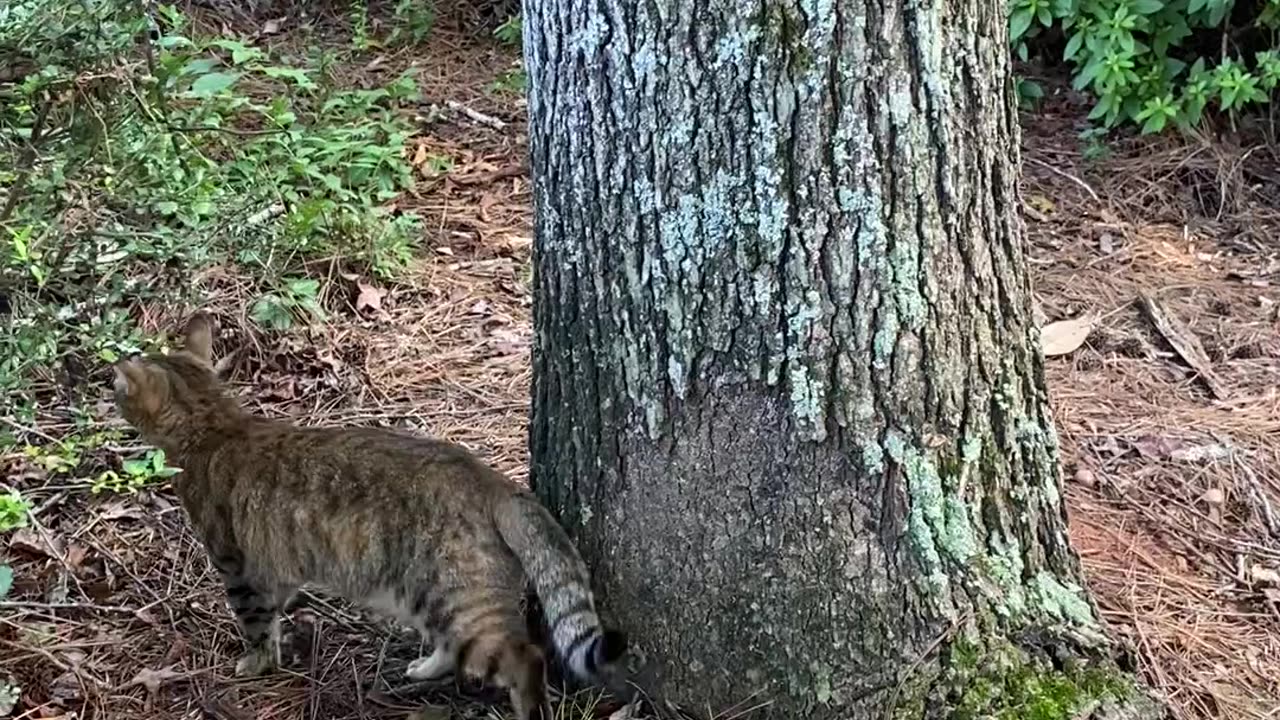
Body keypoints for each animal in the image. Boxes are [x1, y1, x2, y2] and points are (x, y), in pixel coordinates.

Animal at [112, 312, 622, 717]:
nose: (108, 383)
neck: (215, 426)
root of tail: (489, 478)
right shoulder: (274, 567)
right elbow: (276, 609)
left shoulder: (238, 566)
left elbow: (257, 625)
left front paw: (255, 663)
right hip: (428, 596)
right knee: (449, 643)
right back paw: (422, 669)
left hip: (459, 598)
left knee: (524, 658)